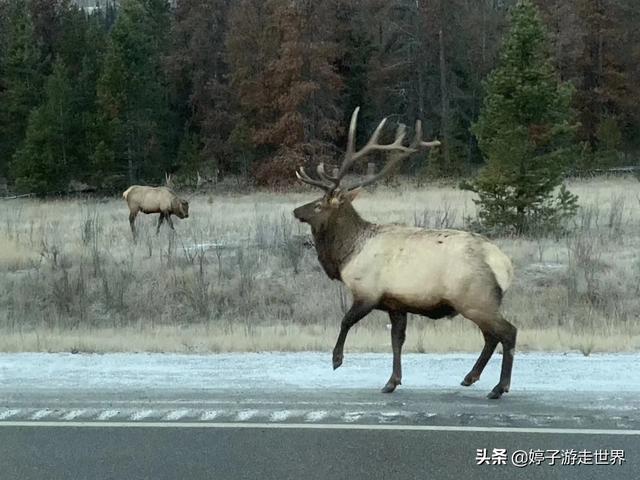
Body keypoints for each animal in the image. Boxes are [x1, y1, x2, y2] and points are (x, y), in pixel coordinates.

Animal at [292, 107, 516, 400]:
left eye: (319, 205)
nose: (296, 210)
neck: (346, 254)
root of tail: (504, 265)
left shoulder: (368, 291)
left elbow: (345, 321)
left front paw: (336, 359)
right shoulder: (396, 303)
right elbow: (396, 340)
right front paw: (392, 381)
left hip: (474, 298)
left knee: (507, 333)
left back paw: (499, 387)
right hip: (479, 302)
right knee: (492, 336)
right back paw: (471, 377)